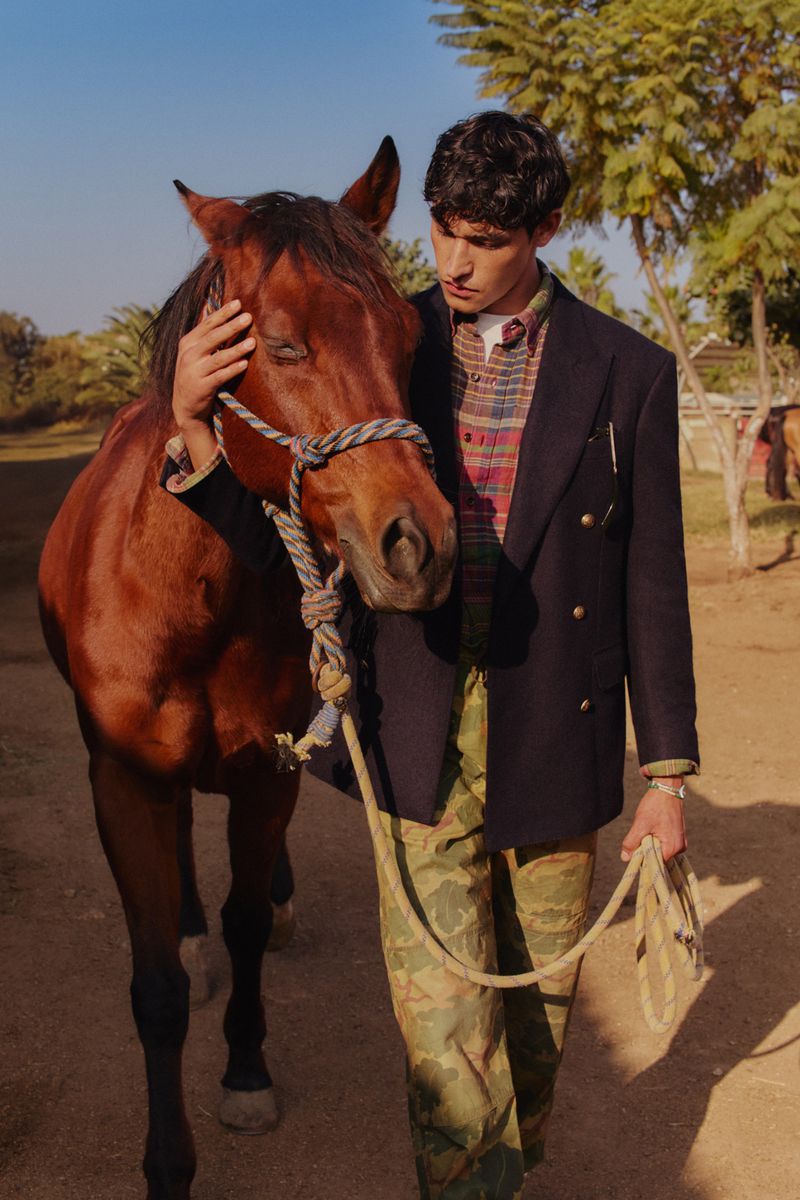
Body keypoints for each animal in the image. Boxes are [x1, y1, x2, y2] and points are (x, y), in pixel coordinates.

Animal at [38, 138, 457, 1200]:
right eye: (282, 344)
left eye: (407, 335)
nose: (422, 545)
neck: (194, 594)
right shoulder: (123, 780)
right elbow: (155, 988)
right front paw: (167, 1162)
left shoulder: (269, 777)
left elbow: (248, 926)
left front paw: (246, 1073)